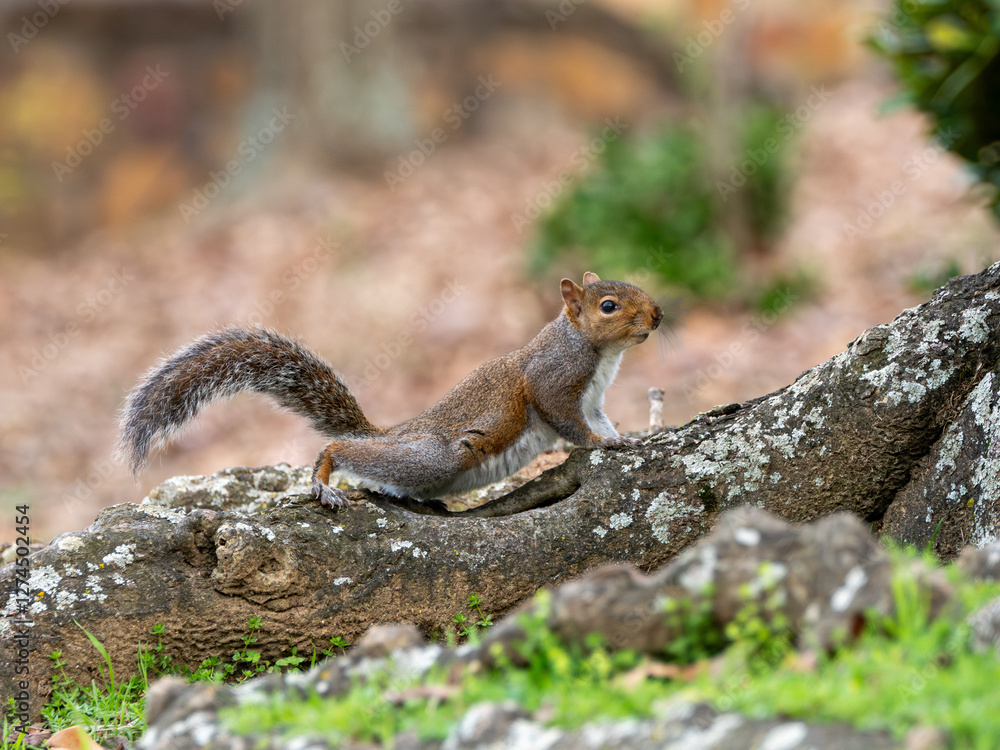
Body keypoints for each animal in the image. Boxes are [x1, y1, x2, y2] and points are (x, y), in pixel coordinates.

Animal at [118, 272, 662, 510]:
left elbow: (600, 418)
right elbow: (570, 424)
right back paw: (324, 478)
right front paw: (603, 444)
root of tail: (390, 433)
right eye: (609, 306)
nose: (658, 315)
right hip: (436, 456)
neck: (597, 353)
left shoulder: (594, 399)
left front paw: (627, 437)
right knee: (342, 448)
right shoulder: (553, 384)